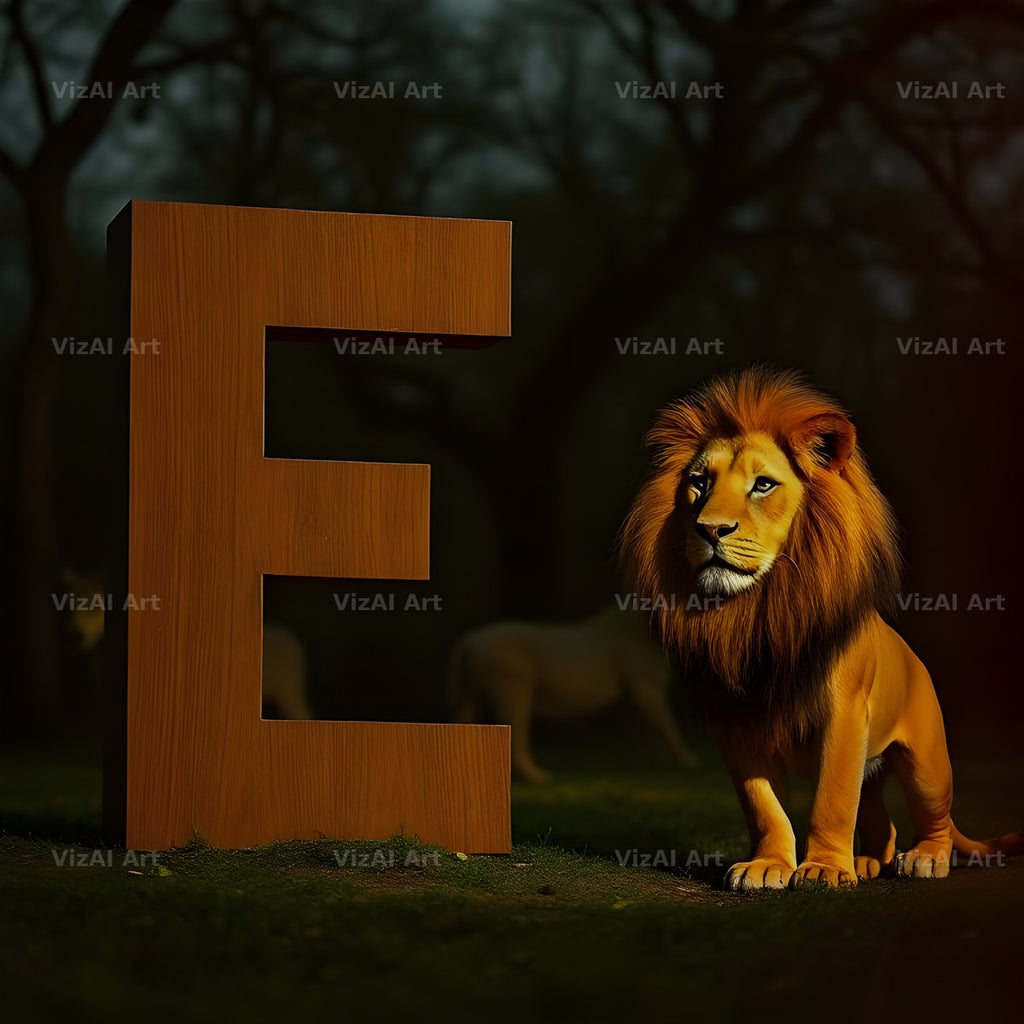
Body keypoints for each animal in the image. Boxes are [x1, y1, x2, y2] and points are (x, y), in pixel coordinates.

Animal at [447, 605, 700, 783]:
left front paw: (649, 764)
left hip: (472, 693)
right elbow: (668, 723)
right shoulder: (645, 685)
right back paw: (538, 778)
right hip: (512, 688)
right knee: (515, 734)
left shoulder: (629, 698)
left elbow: (644, 729)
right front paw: (687, 762)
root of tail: (469, 640)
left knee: (465, 720)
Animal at [620, 366, 1021, 889]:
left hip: (927, 762)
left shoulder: (844, 711)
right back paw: (869, 861)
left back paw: (924, 858)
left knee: (933, 814)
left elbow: (832, 800)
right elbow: (764, 805)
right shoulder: (736, 723)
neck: (758, 611)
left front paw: (824, 869)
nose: (710, 529)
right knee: (880, 818)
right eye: (698, 483)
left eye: (762, 485)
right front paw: (768, 865)